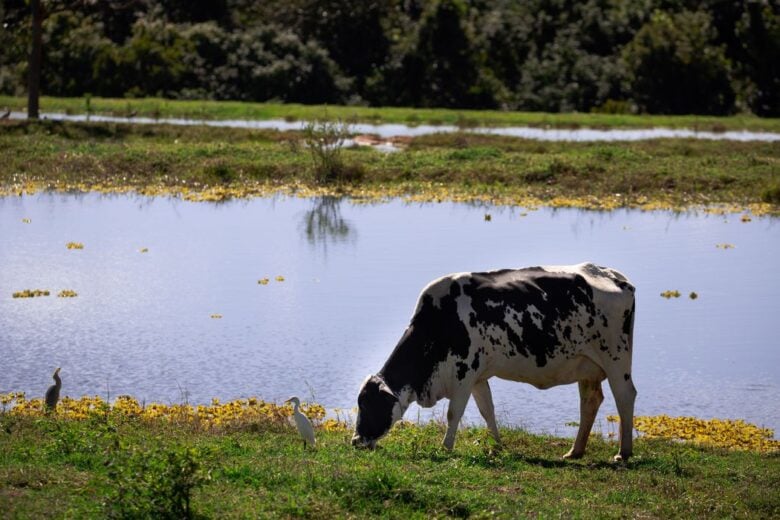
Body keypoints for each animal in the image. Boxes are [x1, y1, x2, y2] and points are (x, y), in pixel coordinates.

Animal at [354, 262, 640, 462]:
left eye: (369, 405)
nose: (355, 441)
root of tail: (612, 275)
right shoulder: (478, 376)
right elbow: (487, 410)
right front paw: (498, 447)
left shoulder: (464, 372)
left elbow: (453, 412)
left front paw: (445, 448)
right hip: (587, 366)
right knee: (590, 401)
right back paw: (575, 451)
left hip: (616, 357)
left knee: (625, 395)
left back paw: (623, 453)